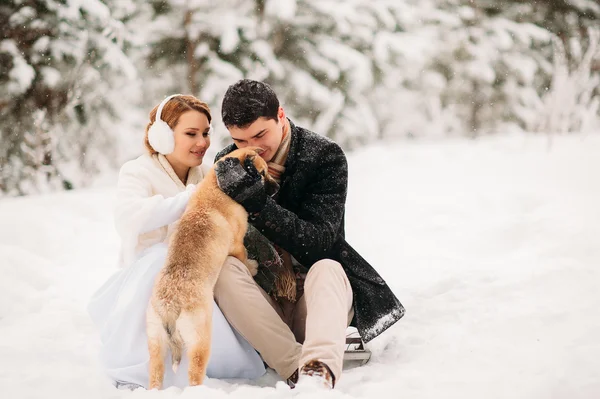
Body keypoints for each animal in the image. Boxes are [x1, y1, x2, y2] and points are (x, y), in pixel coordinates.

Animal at [145, 148, 278, 390]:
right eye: (262, 174)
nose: (278, 188)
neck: (216, 189)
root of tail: (170, 305)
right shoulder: (237, 244)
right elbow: (244, 258)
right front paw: (253, 267)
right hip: (200, 339)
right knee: (194, 374)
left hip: (155, 342)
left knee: (156, 374)